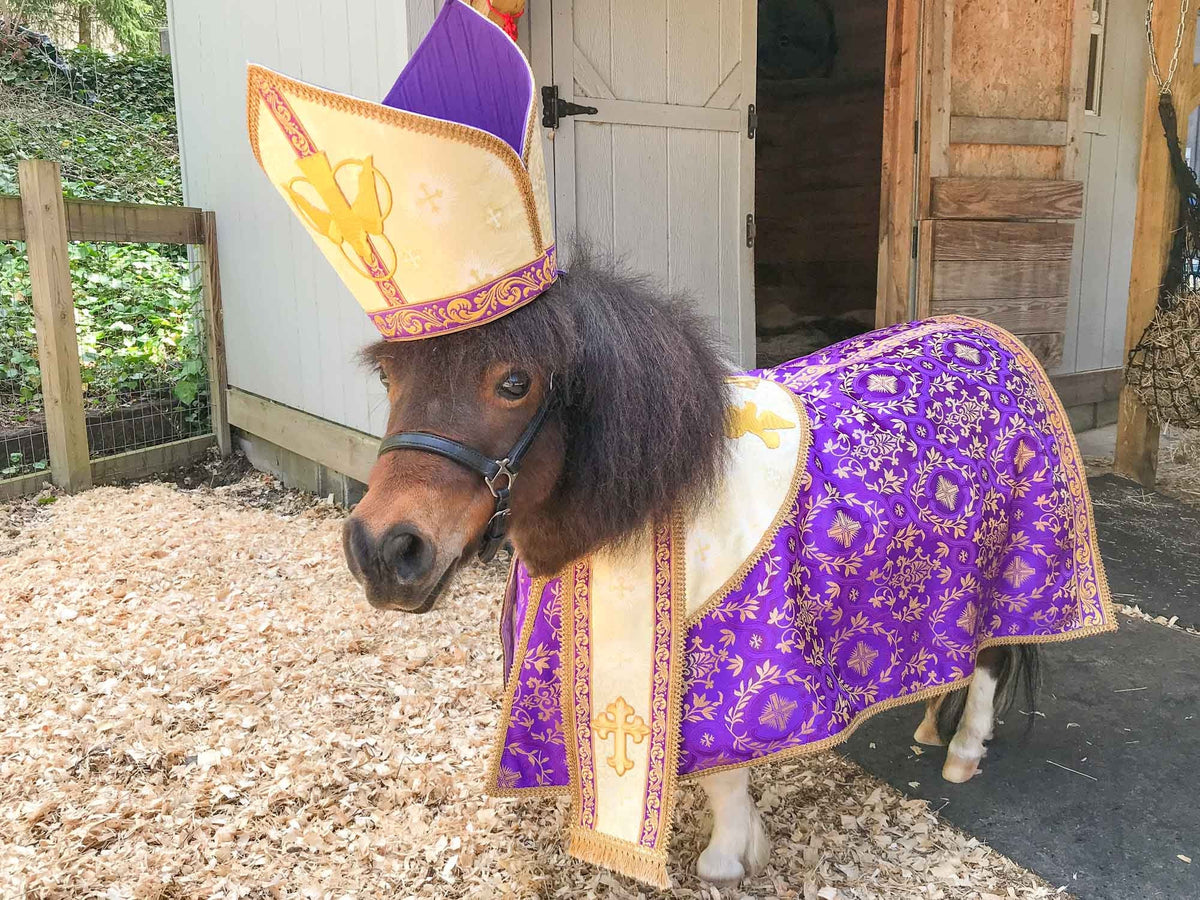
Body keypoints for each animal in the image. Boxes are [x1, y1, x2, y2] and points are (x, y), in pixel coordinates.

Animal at [342, 255, 1047, 884]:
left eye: (515, 383)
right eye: (388, 378)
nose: (383, 549)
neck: (659, 492)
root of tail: (992, 335)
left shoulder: (726, 665)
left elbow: (724, 768)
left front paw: (729, 856)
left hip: (1012, 570)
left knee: (992, 659)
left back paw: (964, 751)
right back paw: (930, 723)